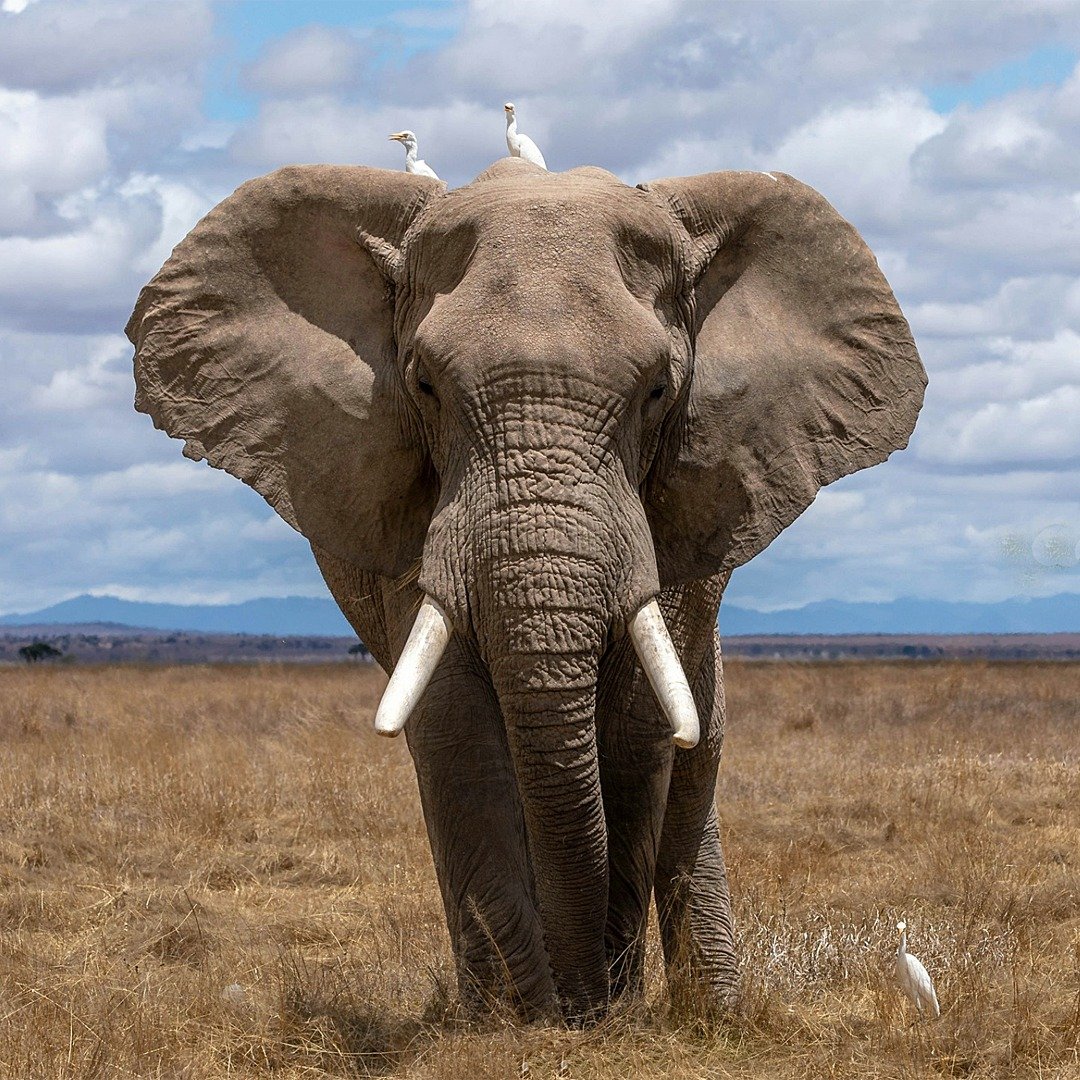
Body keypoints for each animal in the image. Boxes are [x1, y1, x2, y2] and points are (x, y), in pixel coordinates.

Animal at [126, 158, 925, 1023]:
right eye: (424, 386)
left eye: (657, 390)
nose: (581, 1005)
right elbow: (455, 727)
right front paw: (518, 1024)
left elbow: (638, 728)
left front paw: (601, 1013)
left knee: (695, 757)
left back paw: (713, 1013)